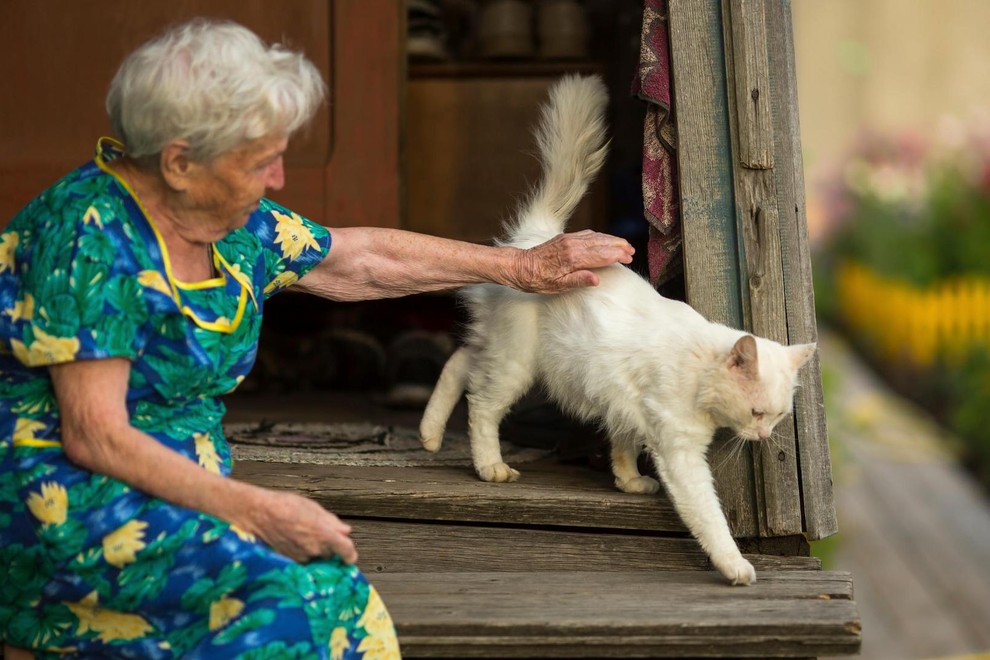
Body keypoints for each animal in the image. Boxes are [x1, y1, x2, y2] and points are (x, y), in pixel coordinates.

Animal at [418, 75, 812, 584]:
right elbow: (708, 516)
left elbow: (622, 442)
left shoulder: (623, 401)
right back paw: (490, 467)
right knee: (481, 404)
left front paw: (628, 482)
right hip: (517, 365)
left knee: (459, 362)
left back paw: (428, 434)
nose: (763, 438)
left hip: (501, 349)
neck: (698, 367)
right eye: (758, 413)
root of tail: (536, 240)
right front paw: (735, 566)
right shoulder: (679, 451)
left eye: (778, 417)